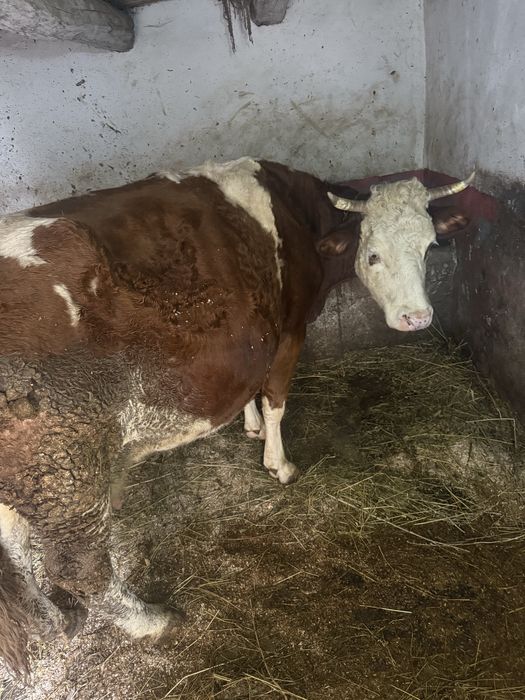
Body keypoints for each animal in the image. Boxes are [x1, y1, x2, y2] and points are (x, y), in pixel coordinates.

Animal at [0, 158, 473, 676]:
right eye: (372, 255)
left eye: (429, 246)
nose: (417, 318)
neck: (297, 218)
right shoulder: (289, 329)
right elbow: (276, 399)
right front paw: (278, 464)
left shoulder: (253, 340)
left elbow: (252, 388)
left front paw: (249, 427)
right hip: (64, 468)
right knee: (78, 568)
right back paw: (150, 620)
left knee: (16, 553)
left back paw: (54, 621)